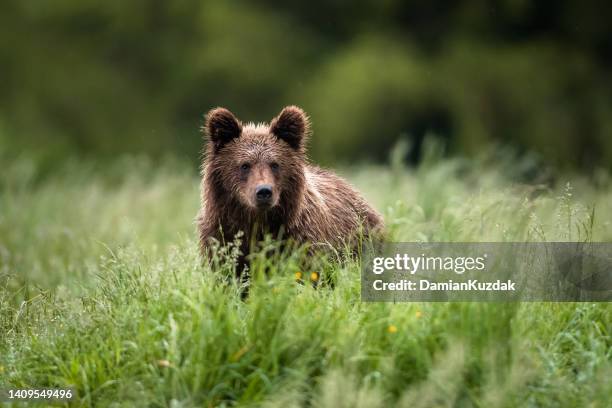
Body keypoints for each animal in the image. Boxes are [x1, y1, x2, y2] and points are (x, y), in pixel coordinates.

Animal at [197, 105, 382, 272]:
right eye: (245, 165)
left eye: (275, 164)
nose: (264, 191)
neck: (257, 221)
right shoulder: (221, 235)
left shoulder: (300, 237)